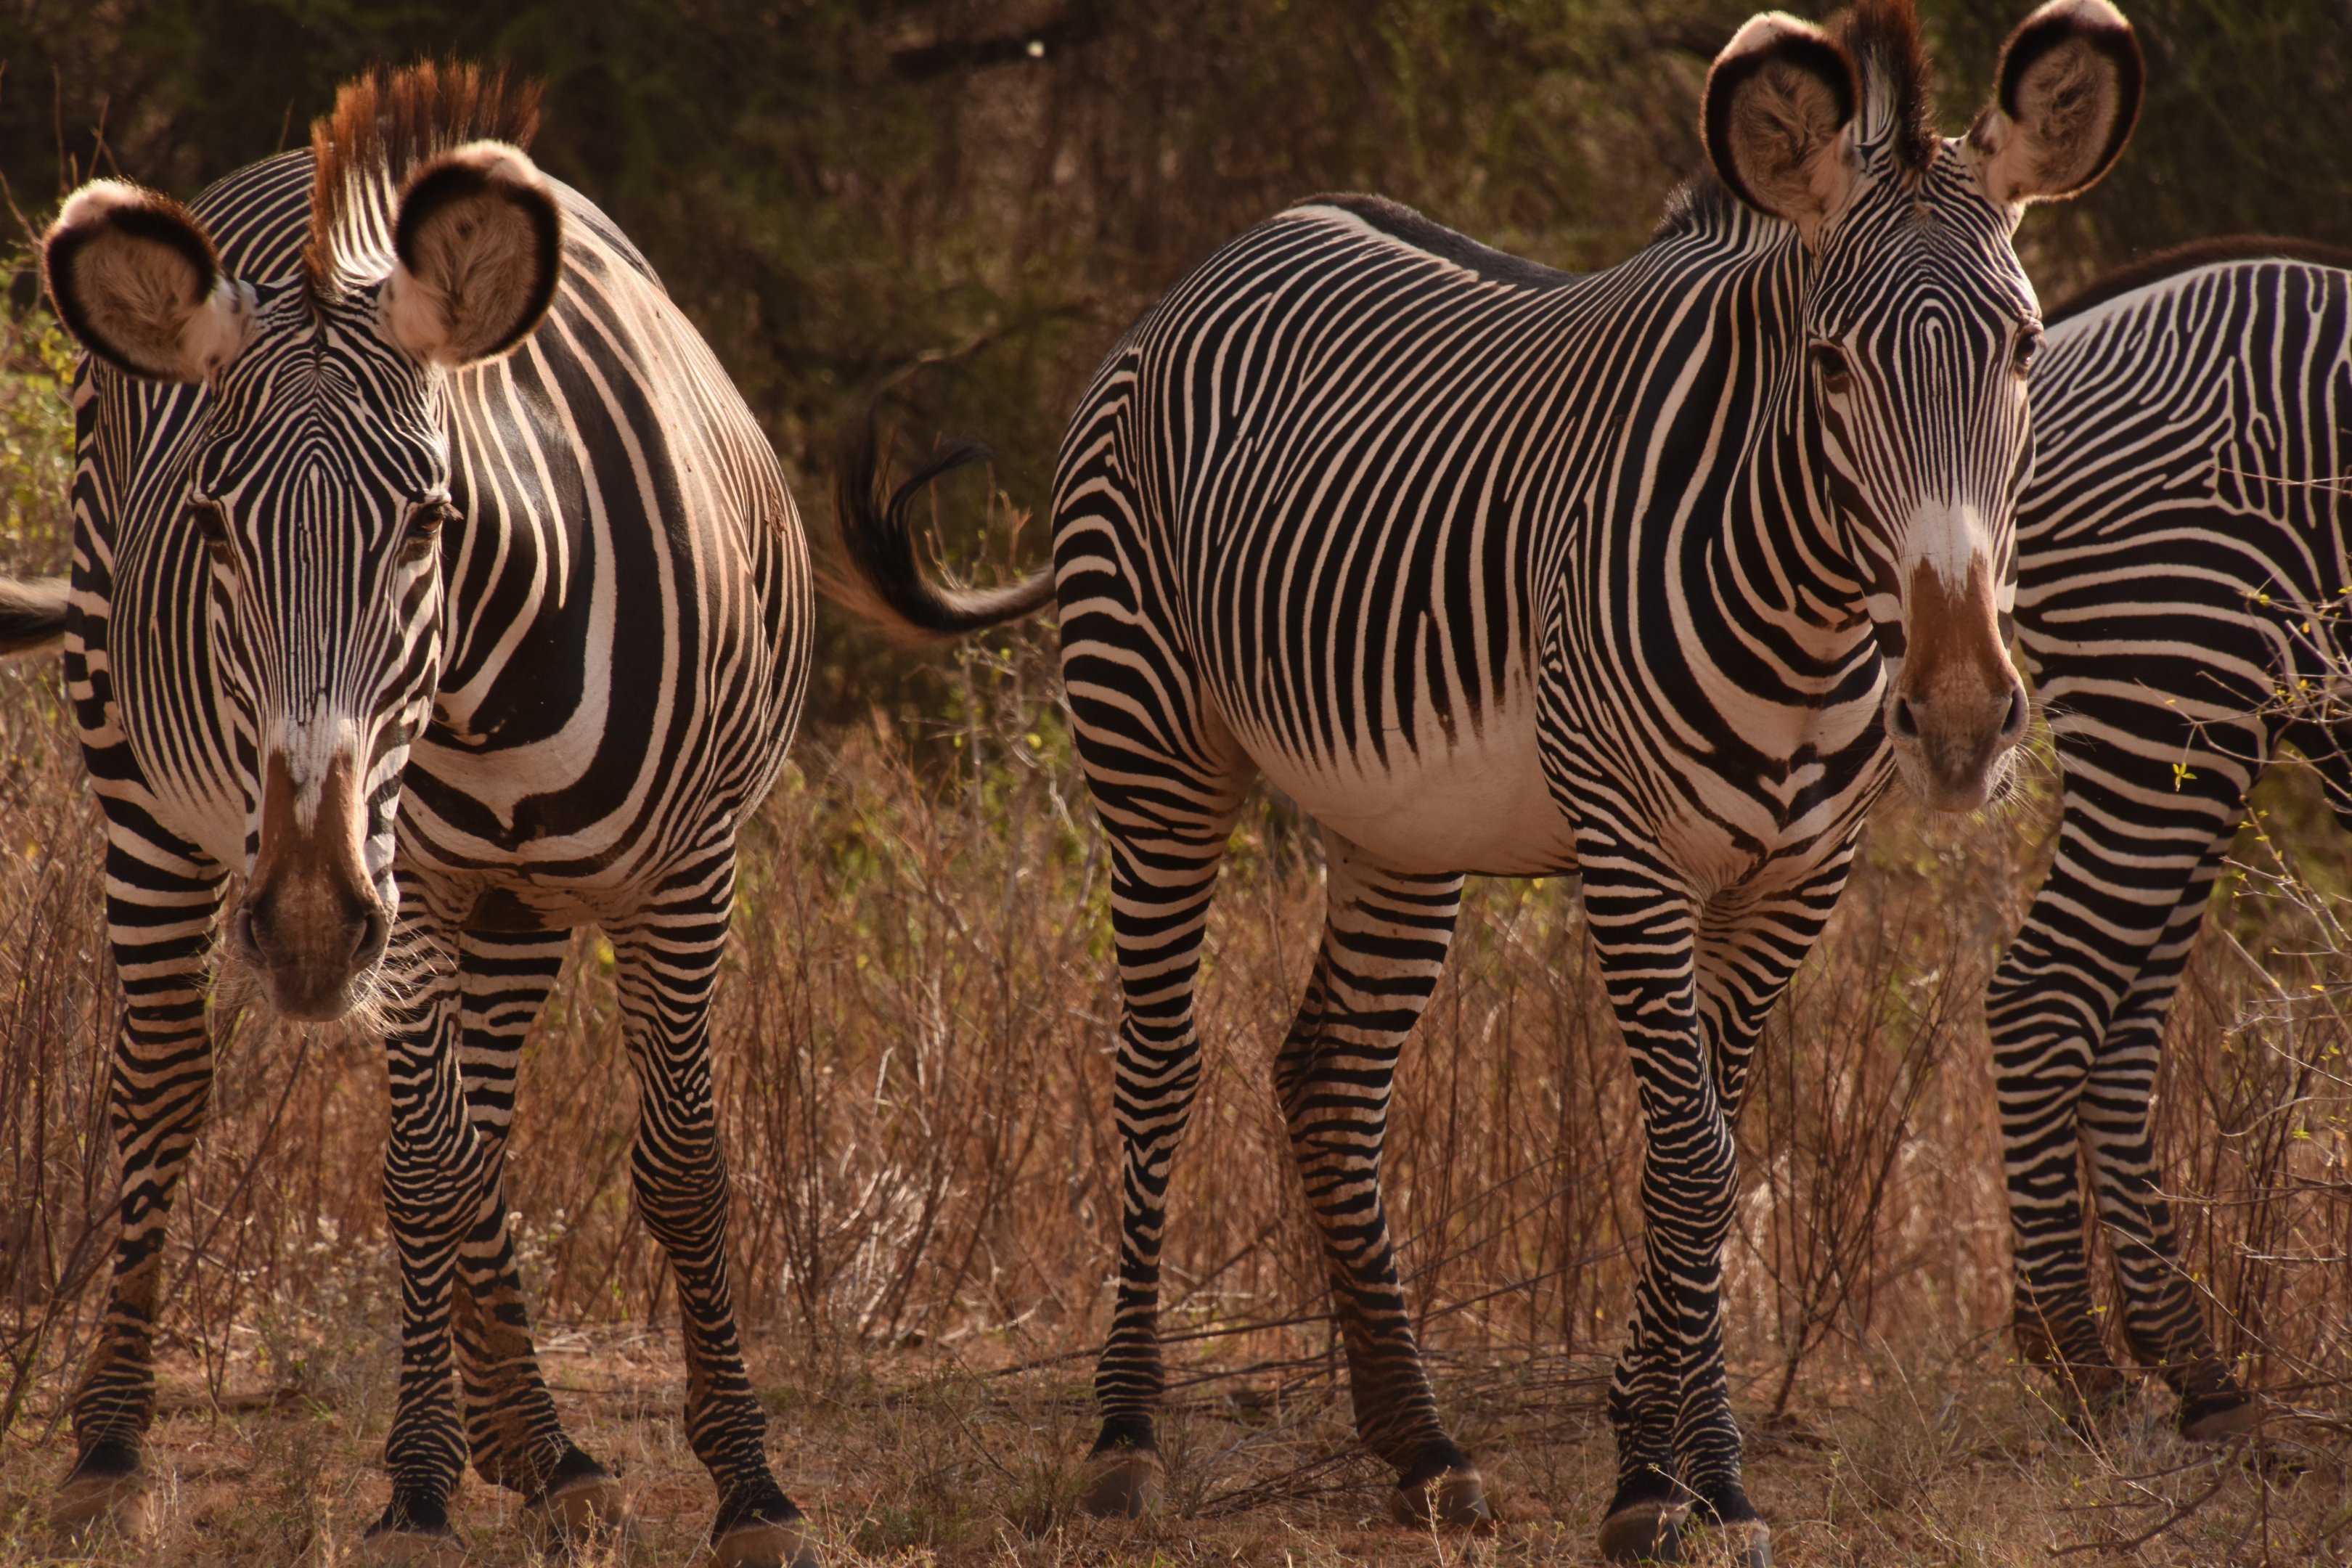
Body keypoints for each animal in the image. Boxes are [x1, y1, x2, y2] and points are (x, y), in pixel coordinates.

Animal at [15, 65, 815, 1568]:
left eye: (431, 523)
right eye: (212, 528)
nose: (310, 925)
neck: (503, 683)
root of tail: (285, 170)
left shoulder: (689, 874)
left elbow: (681, 1165)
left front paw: (749, 1484)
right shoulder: (419, 885)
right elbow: (429, 1172)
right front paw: (421, 1488)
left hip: (513, 909)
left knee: (493, 1120)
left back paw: (547, 1448)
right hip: (142, 786)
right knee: (162, 1083)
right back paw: (109, 1443)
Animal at [828, 2, 2142, 1560]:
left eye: (2025, 350)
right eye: (1831, 365)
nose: (1954, 718)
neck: (1815, 616)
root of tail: (1219, 259)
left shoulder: (1796, 879)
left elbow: (1712, 1149)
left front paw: (1668, 1461)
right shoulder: (1632, 853)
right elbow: (1695, 1158)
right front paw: (1676, 1485)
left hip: (1401, 826)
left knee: (1329, 1077)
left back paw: (1423, 1450)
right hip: (1151, 744)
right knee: (1157, 1062)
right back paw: (1129, 1441)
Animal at [1990, 237, 2352, 1442]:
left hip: (2198, 736)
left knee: (2120, 1029)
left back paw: (2191, 1363)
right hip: (2175, 678)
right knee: (2045, 992)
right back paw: (2079, 1352)